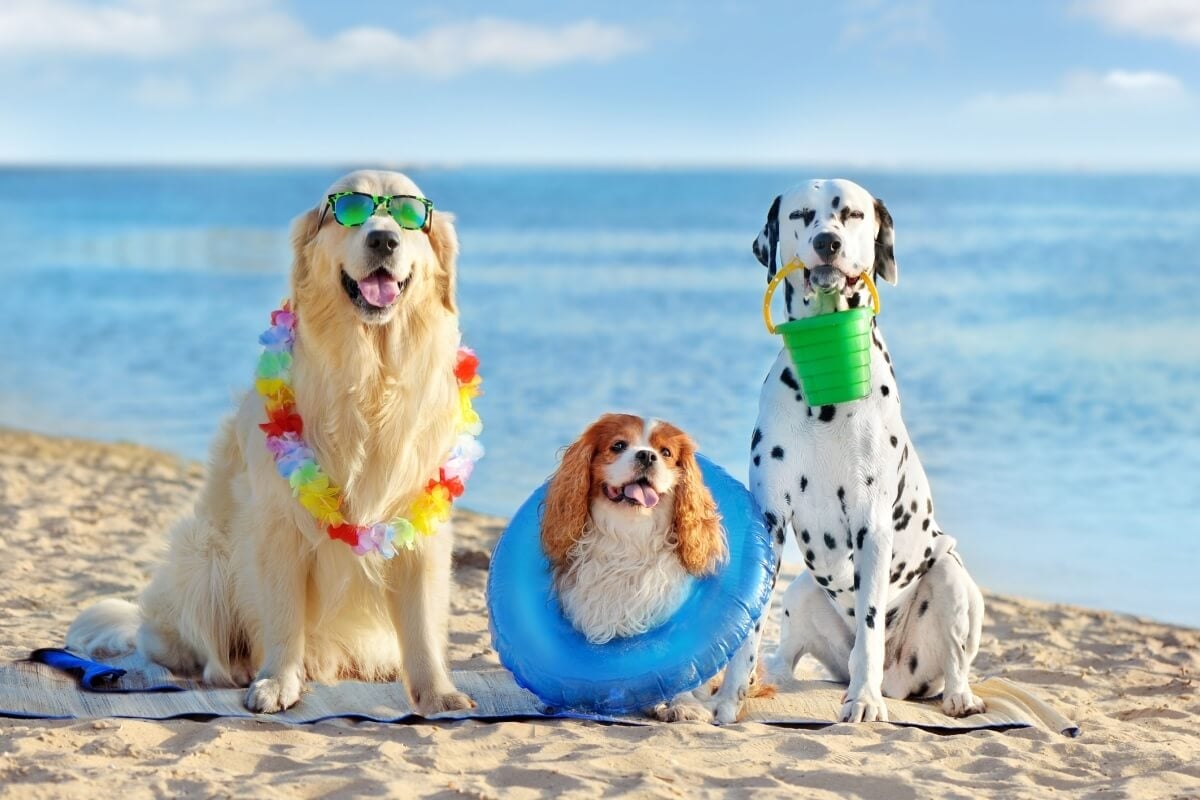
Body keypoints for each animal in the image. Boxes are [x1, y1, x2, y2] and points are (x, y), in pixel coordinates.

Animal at [68, 169, 475, 714]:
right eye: (349, 211)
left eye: (410, 217)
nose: (383, 239)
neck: (369, 377)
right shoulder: (279, 524)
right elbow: (283, 615)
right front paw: (278, 681)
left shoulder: (421, 526)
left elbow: (424, 625)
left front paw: (438, 693)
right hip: (202, 552)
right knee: (179, 645)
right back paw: (234, 666)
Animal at [705, 176, 979, 724]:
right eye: (801, 215)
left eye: (851, 214)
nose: (827, 242)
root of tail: (902, 678)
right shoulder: (770, 521)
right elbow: (749, 626)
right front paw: (729, 699)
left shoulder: (871, 525)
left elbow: (870, 631)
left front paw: (864, 701)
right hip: (802, 592)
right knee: (789, 653)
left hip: (954, 578)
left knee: (952, 656)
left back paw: (954, 695)